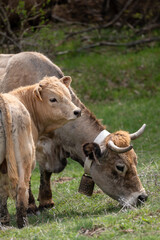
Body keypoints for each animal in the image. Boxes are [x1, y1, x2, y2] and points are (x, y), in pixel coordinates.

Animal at [0, 52, 148, 212]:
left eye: (135, 160)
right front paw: (30, 205)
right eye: (120, 167)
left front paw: (46, 201)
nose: (142, 197)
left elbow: (45, 172)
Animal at [0, 76, 80, 228]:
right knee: (22, 187)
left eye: (68, 95)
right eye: (53, 99)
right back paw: (23, 223)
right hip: (26, 157)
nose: (77, 111)